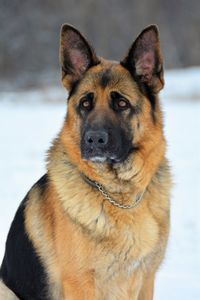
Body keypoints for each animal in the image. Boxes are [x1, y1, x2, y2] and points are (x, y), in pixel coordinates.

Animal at [0, 24, 171, 300]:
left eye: (121, 103)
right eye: (85, 103)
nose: (94, 139)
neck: (118, 194)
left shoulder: (146, 280)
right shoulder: (81, 283)